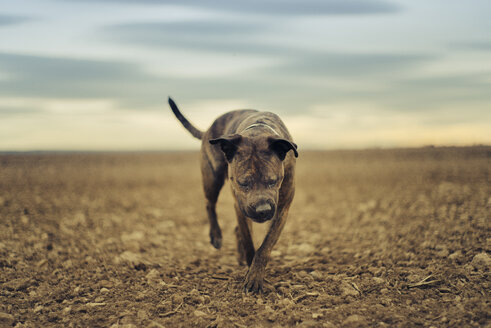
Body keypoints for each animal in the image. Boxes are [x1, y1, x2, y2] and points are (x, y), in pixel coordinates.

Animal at [169, 96, 298, 292]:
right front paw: (251, 272)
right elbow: (249, 242)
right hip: (212, 176)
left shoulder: (281, 210)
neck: (258, 130)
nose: (262, 210)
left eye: (273, 181)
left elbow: (265, 246)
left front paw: (255, 274)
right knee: (209, 204)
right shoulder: (240, 207)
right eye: (243, 183)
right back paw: (216, 236)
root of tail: (208, 130)